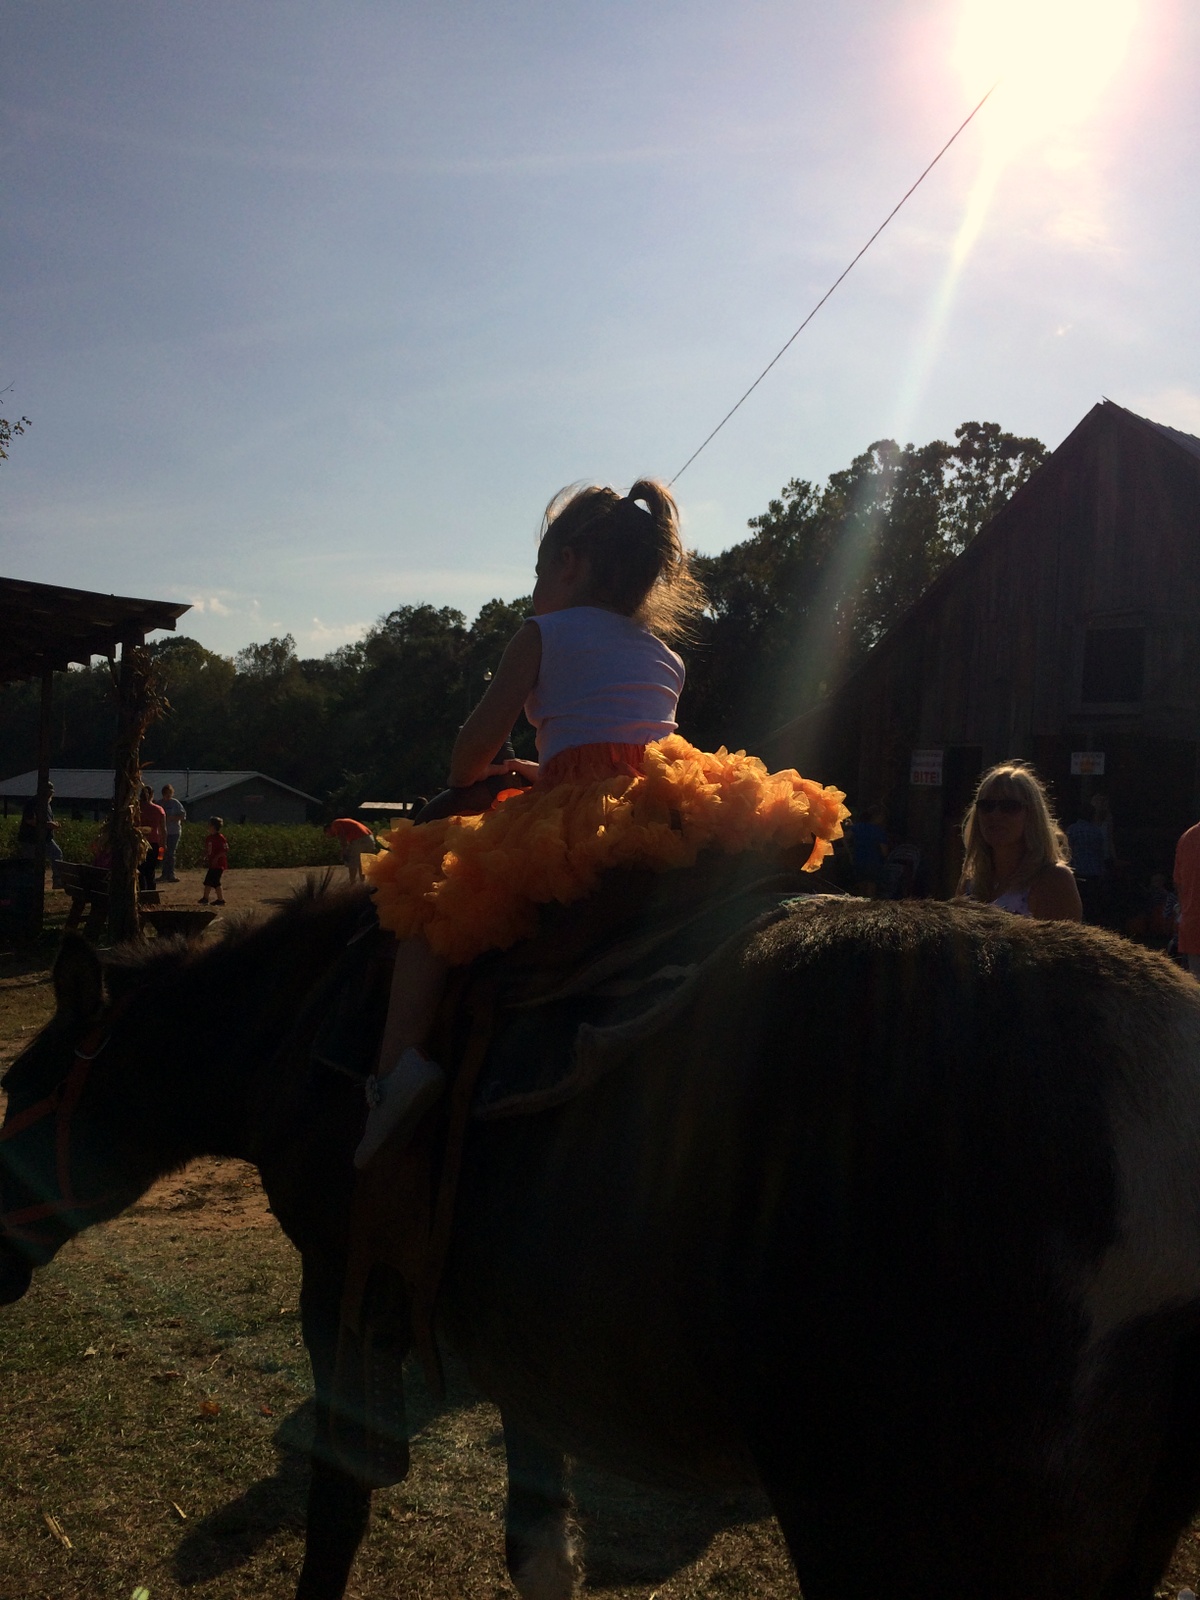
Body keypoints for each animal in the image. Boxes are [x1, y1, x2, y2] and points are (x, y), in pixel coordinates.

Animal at [3, 882, 1200, 1600]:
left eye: (16, 1083)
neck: (312, 1027)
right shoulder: (521, 1339)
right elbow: (538, 1540)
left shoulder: (341, 1285)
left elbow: (339, 1506)